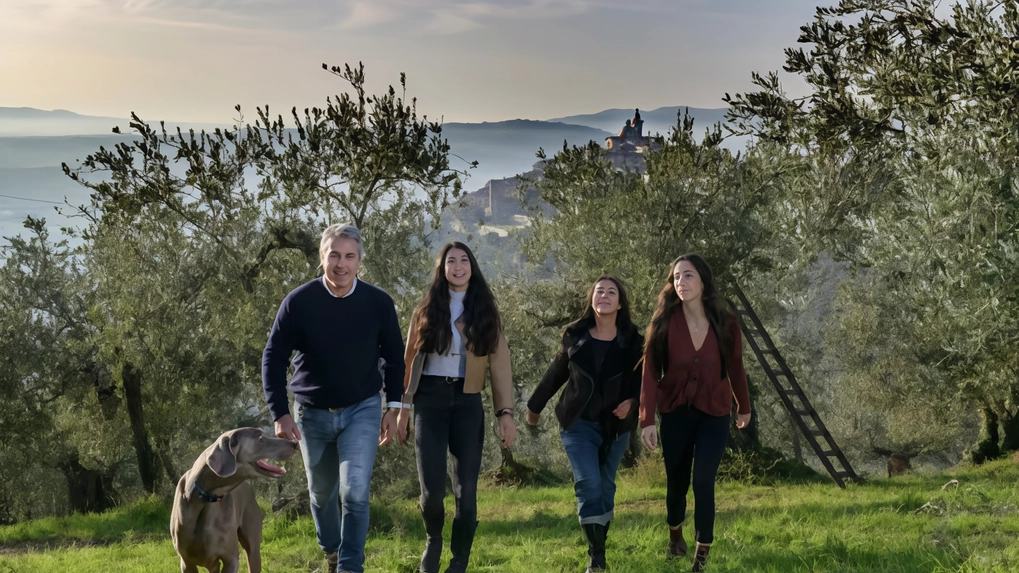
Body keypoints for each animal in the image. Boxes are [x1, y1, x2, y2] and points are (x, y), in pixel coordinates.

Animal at [171, 426, 297, 570]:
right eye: (260, 438)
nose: (295, 443)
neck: (203, 498)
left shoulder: (231, 558)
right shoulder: (186, 562)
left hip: (253, 544)